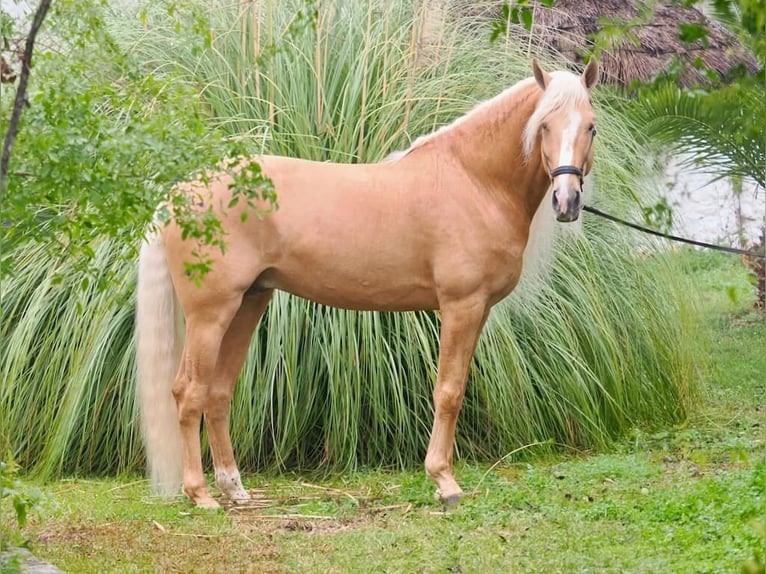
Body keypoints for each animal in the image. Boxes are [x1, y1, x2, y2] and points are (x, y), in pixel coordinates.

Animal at [141, 58, 604, 508]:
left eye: (591, 126)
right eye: (544, 125)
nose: (567, 201)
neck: (473, 180)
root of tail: (180, 193)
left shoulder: (479, 310)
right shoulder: (461, 306)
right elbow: (448, 391)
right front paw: (444, 482)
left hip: (249, 303)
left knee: (218, 392)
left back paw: (234, 488)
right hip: (210, 314)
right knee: (188, 392)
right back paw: (201, 495)